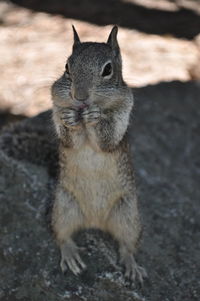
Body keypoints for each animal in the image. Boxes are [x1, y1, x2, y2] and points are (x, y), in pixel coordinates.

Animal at [50, 25, 146, 282]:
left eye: (108, 70)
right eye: (67, 67)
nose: (80, 97)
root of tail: (95, 221)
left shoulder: (122, 115)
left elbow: (106, 139)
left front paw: (96, 117)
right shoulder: (57, 108)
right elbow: (69, 138)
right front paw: (70, 119)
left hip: (128, 216)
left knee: (127, 245)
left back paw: (131, 266)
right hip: (63, 207)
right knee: (62, 236)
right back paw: (71, 255)